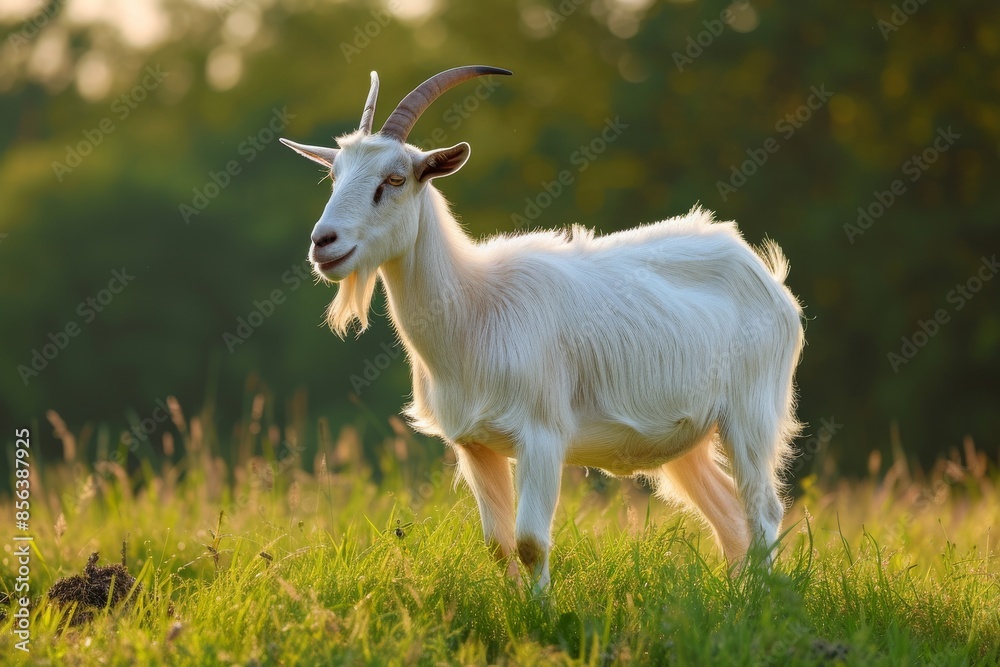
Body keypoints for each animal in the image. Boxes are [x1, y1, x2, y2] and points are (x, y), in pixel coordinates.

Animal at [281, 66, 804, 589]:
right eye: (334, 175)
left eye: (394, 178)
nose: (324, 242)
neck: (474, 310)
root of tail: (764, 272)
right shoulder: (475, 445)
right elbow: (498, 545)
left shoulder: (541, 437)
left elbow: (531, 543)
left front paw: (543, 609)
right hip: (687, 440)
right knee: (730, 519)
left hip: (751, 413)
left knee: (763, 511)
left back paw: (761, 599)